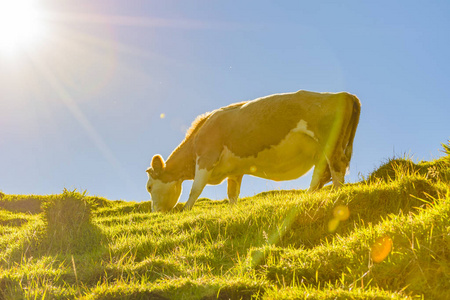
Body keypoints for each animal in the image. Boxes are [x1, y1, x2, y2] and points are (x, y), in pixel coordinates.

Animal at [146, 90, 360, 212]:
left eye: (149, 187)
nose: (154, 212)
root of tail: (343, 94)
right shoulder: (234, 171)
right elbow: (232, 194)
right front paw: (232, 211)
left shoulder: (206, 157)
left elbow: (195, 189)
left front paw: (186, 210)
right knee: (320, 174)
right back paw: (308, 195)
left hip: (330, 144)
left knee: (336, 167)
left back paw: (336, 194)